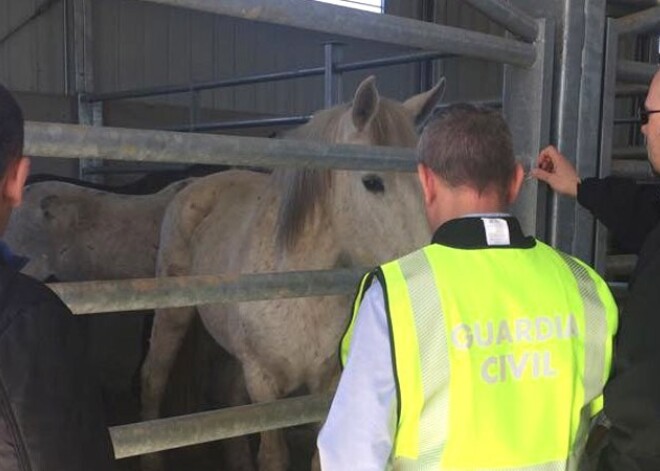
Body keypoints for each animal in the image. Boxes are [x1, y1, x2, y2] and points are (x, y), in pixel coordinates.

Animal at [142, 75, 446, 470]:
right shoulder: (263, 381)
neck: (300, 289)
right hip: (173, 315)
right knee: (154, 377)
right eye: (372, 182)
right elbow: (274, 455)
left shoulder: (327, 384)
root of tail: (192, 185)